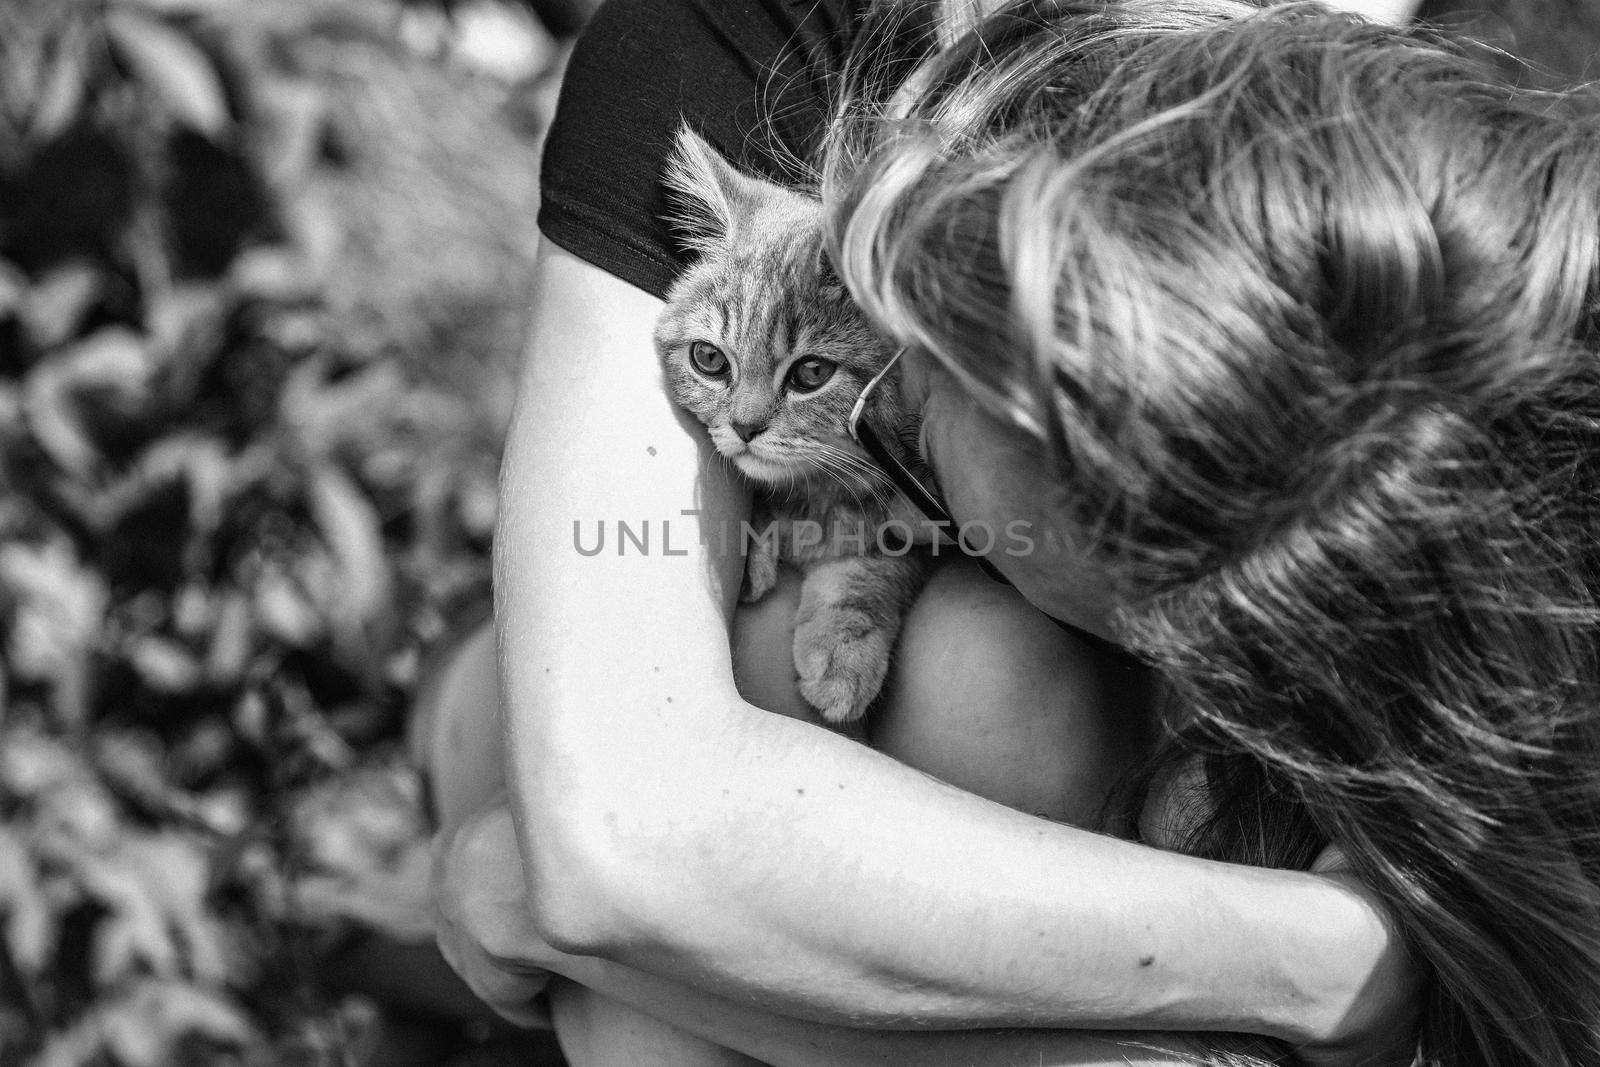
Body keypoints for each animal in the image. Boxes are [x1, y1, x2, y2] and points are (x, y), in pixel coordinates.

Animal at [652, 127, 934, 726]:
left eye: (811, 373)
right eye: (709, 360)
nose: (745, 426)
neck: (814, 493)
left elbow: (879, 567)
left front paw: (847, 644)